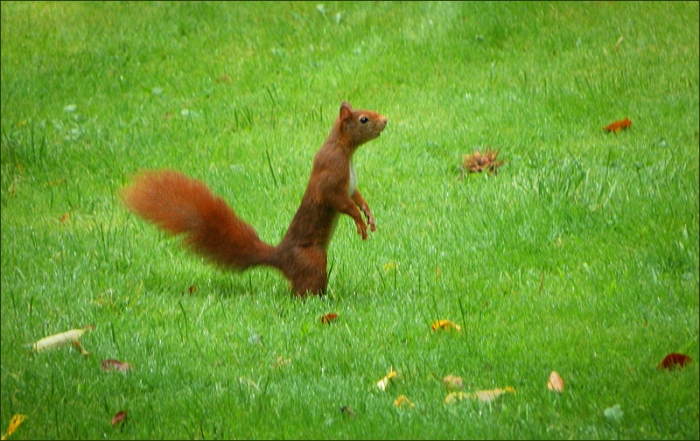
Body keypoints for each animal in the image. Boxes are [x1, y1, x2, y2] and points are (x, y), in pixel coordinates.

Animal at [122, 101, 387, 296]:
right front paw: (359, 222)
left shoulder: (350, 186)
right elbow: (341, 202)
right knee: (303, 288)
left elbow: (356, 197)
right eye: (364, 119)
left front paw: (368, 215)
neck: (346, 150)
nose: (385, 120)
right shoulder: (331, 177)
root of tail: (279, 257)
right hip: (312, 261)